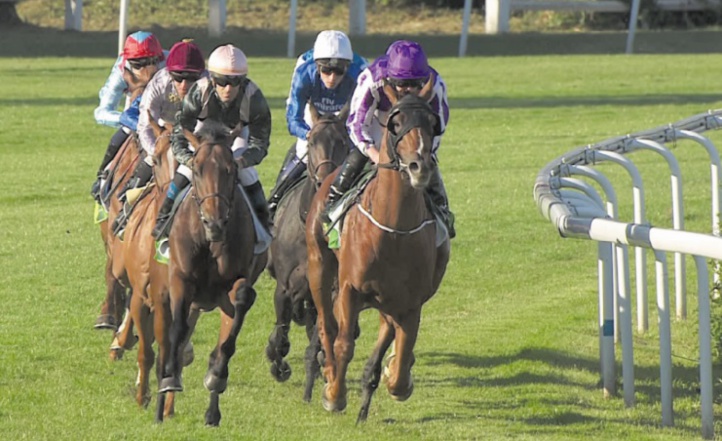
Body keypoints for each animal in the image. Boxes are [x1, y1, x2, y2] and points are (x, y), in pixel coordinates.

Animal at [159, 121, 268, 426]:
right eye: (197, 169)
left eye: (230, 170)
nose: (215, 223)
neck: (209, 241)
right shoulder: (180, 280)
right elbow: (176, 331)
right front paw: (169, 378)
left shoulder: (234, 284)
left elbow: (238, 308)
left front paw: (216, 375)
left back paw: (212, 410)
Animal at [266, 102, 350, 398]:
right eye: (312, 140)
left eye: (343, 141)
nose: (326, 180)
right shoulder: (284, 286)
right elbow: (280, 333)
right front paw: (277, 362)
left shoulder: (330, 287)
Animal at [304, 78, 450, 420]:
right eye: (395, 124)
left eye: (432, 123)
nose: (419, 166)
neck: (393, 230)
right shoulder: (349, 288)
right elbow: (343, 342)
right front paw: (334, 393)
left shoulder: (411, 301)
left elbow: (404, 349)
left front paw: (395, 376)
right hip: (318, 265)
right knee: (327, 325)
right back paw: (328, 370)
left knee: (388, 328)